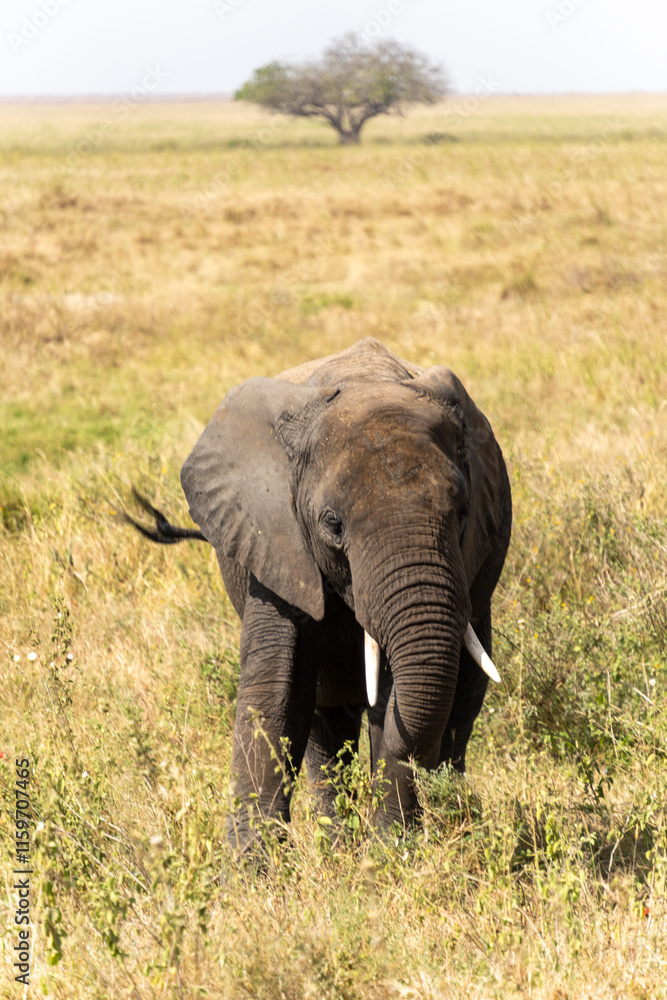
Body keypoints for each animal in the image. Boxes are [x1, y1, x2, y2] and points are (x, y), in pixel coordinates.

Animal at [131, 337, 511, 852]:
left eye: (463, 512)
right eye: (332, 524)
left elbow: (396, 696)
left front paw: (392, 853)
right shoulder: (275, 541)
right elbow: (277, 692)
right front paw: (248, 868)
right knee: (321, 726)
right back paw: (340, 842)